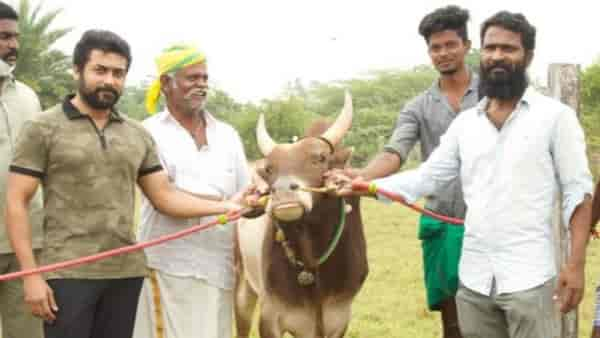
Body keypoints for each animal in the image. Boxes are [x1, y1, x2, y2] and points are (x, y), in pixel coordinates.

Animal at [236, 93, 368, 338]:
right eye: (269, 169)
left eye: (320, 158)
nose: (283, 193)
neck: (312, 260)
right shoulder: (270, 315)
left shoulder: (339, 316)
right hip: (242, 286)